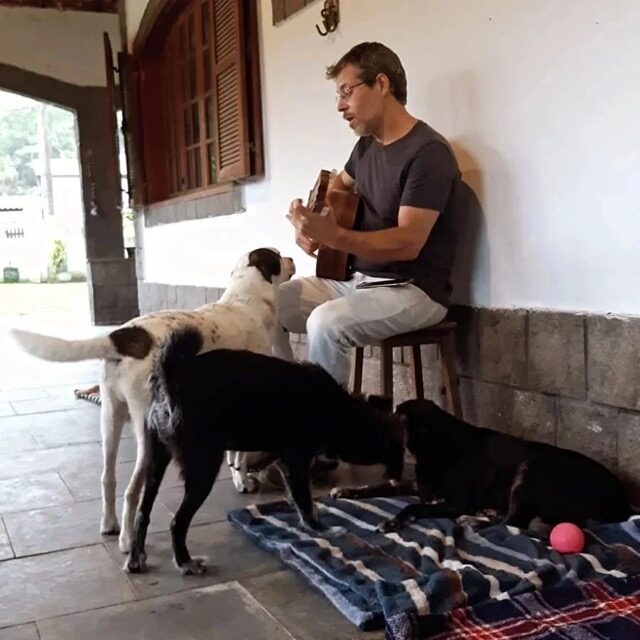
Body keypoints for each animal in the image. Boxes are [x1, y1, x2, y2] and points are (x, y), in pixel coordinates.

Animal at [9, 248, 295, 553]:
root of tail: (122, 337)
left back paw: (109, 524)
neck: (246, 300)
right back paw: (127, 540)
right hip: (148, 433)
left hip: (110, 417)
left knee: (108, 478)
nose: (293, 258)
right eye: (278, 255)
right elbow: (239, 453)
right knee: (131, 490)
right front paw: (242, 480)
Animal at [125, 328, 405, 575]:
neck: (340, 411)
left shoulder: (286, 462)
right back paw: (185, 562)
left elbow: (301, 498)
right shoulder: (296, 463)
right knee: (177, 522)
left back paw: (136, 557)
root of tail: (171, 377)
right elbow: (304, 500)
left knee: (143, 512)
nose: (399, 477)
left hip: (155, 462)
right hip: (203, 468)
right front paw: (319, 529)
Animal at [333, 399, 633, 536]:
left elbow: (413, 507)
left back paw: (476, 519)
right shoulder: (420, 486)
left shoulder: (455, 502)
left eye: (396, 419)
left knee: (513, 522)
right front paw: (348, 491)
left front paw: (393, 520)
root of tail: (620, 501)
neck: (440, 444)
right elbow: (378, 486)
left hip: (531, 469)